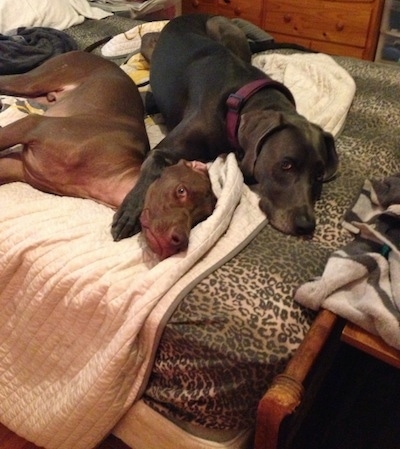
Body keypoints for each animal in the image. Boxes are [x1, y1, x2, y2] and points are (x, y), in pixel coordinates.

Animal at [0, 50, 216, 260]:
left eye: (201, 217)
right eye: (181, 191)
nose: (180, 241)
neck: (108, 179)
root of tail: (89, 53)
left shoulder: (18, 166)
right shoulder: (32, 125)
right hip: (33, 81)